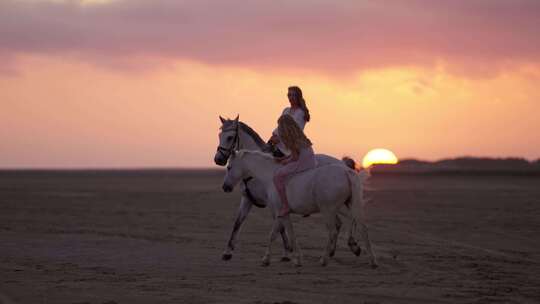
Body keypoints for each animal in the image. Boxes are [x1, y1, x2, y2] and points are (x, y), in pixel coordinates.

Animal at [214, 116, 362, 262]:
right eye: (220, 135)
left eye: (230, 137)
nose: (218, 159)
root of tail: (343, 165)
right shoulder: (247, 199)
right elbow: (237, 223)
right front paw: (227, 252)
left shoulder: (274, 204)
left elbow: (280, 228)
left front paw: (287, 253)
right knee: (341, 223)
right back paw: (333, 251)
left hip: (333, 206)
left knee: (349, 219)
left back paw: (351, 246)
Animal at [221, 151, 378, 268]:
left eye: (229, 167)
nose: (225, 187)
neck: (271, 175)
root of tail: (346, 171)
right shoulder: (279, 214)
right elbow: (273, 234)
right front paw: (266, 259)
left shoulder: (282, 213)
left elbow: (288, 233)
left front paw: (296, 259)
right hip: (349, 206)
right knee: (362, 227)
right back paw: (371, 260)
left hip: (329, 211)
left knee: (334, 231)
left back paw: (324, 259)